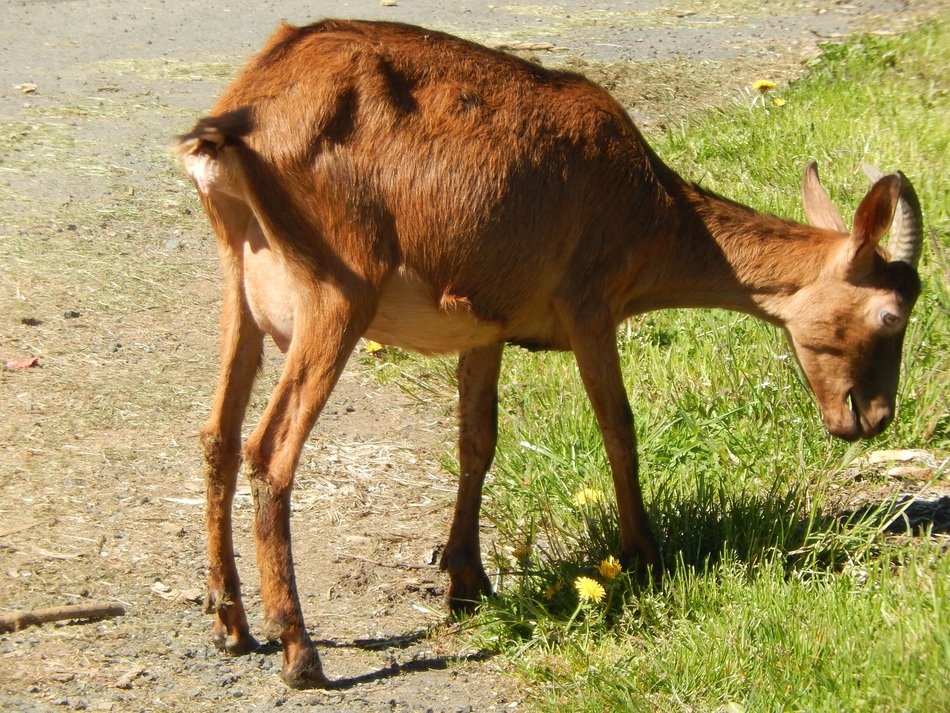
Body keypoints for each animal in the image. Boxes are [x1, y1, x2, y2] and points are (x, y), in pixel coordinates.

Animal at [177, 19, 923, 688]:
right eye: (891, 314)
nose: (873, 417)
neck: (645, 201)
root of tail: (242, 116)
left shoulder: (485, 327)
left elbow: (477, 439)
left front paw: (467, 579)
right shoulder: (590, 305)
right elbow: (618, 425)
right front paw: (644, 552)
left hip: (239, 279)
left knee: (217, 435)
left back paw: (230, 623)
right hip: (337, 291)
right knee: (271, 450)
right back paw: (299, 652)